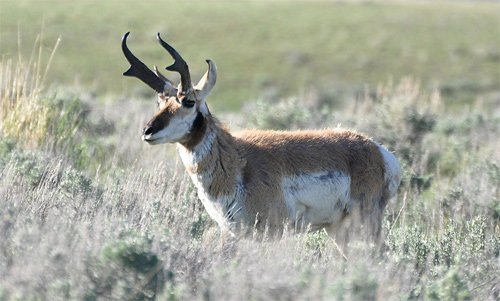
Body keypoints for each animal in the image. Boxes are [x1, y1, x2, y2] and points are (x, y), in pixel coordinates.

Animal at [122, 31, 402, 240]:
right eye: (160, 101)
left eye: (189, 101)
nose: (147, 131)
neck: (236, 162)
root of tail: (380, 151)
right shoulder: (234, 233)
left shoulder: (270, 233)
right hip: (339, 230)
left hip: (363, 225)